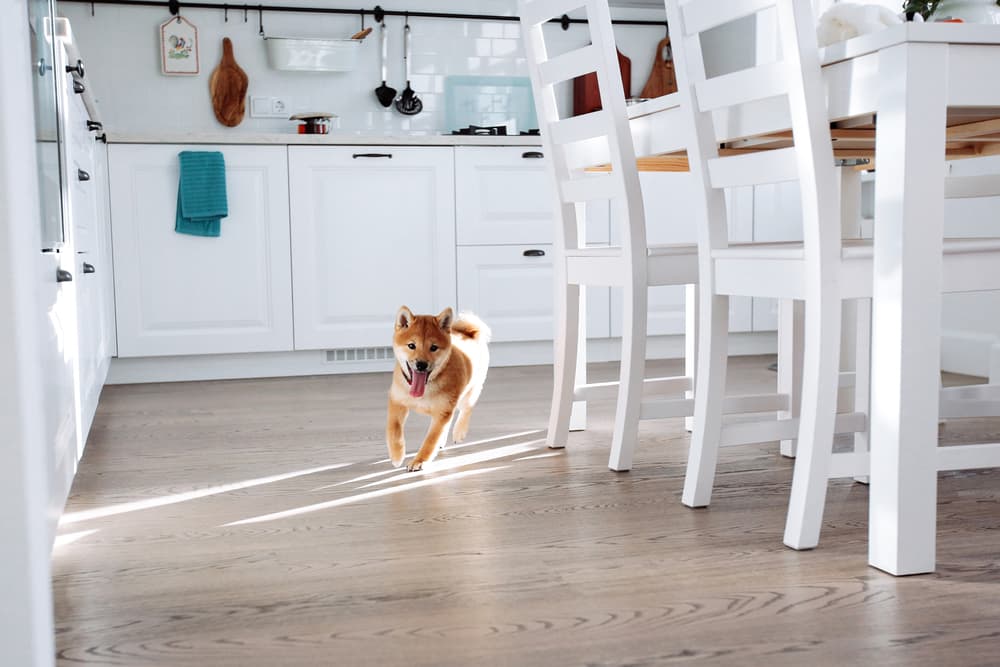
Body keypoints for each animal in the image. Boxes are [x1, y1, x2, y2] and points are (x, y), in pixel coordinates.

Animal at [384, 306, 490, 472]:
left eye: (433, 348)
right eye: (411, 345)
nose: (421, 364)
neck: (426, 388)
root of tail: (469, 333)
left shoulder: (442, 412)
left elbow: (430, 440)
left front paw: (419, 461)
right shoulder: (397, 401)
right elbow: (394, 430)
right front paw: (396, 456)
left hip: (470, 392)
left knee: (466, 410)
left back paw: (459, 431)